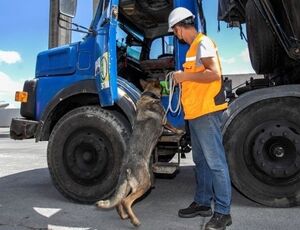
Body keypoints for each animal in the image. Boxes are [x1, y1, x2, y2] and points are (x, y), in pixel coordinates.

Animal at [96, 79, 165, 226]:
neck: (148, 96)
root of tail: (126, 167)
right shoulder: (165, 121)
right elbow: (173, 127)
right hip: (144, 184)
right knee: (125, 201)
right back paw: (135, 221)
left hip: (128, 186)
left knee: (119, 201)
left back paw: (124, 216)